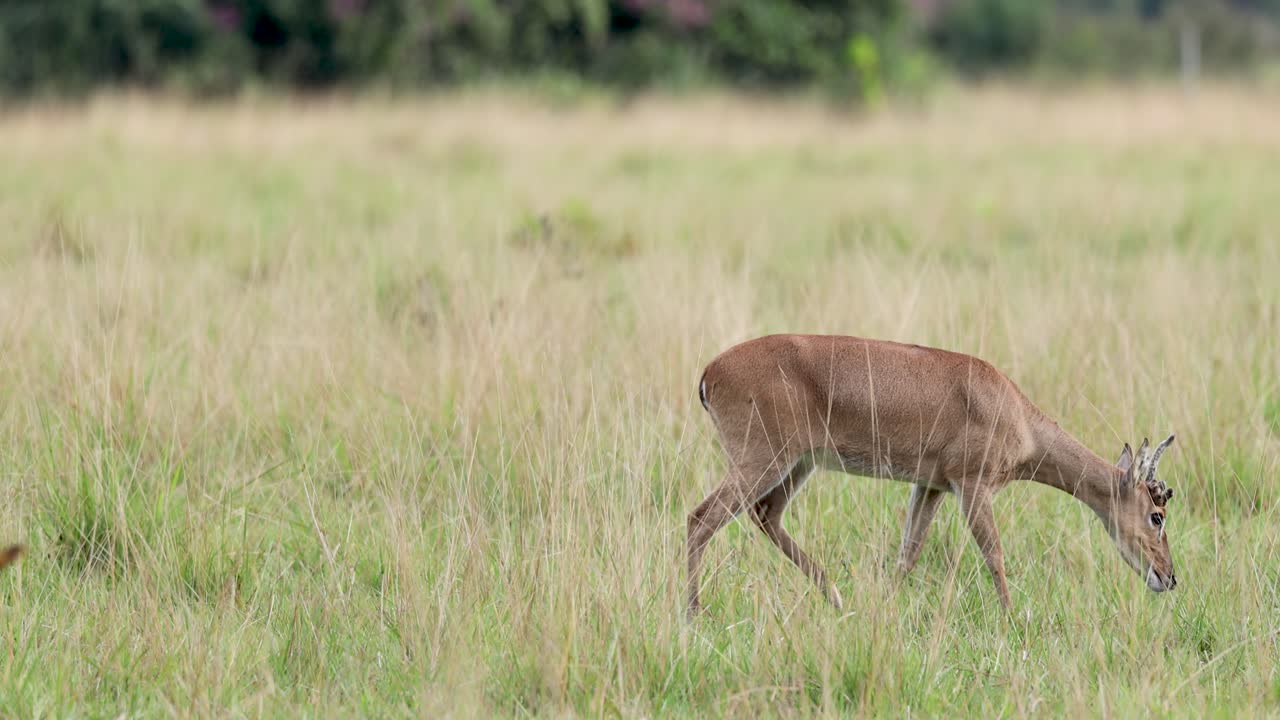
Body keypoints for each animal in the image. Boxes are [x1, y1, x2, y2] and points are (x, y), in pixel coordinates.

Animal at [687, 334, 1178, 615]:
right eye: (1156, 514)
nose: (1169, 577)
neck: (1016, 413)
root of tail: (709, 372)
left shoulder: (931, 486)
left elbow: (908, 552)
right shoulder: (972, 485)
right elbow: (994, 554)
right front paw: (1014, 621)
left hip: (797, 464)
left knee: (765, 514)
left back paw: (838, 599)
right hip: (764, 460)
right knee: (700, 519)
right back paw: (694, 614)